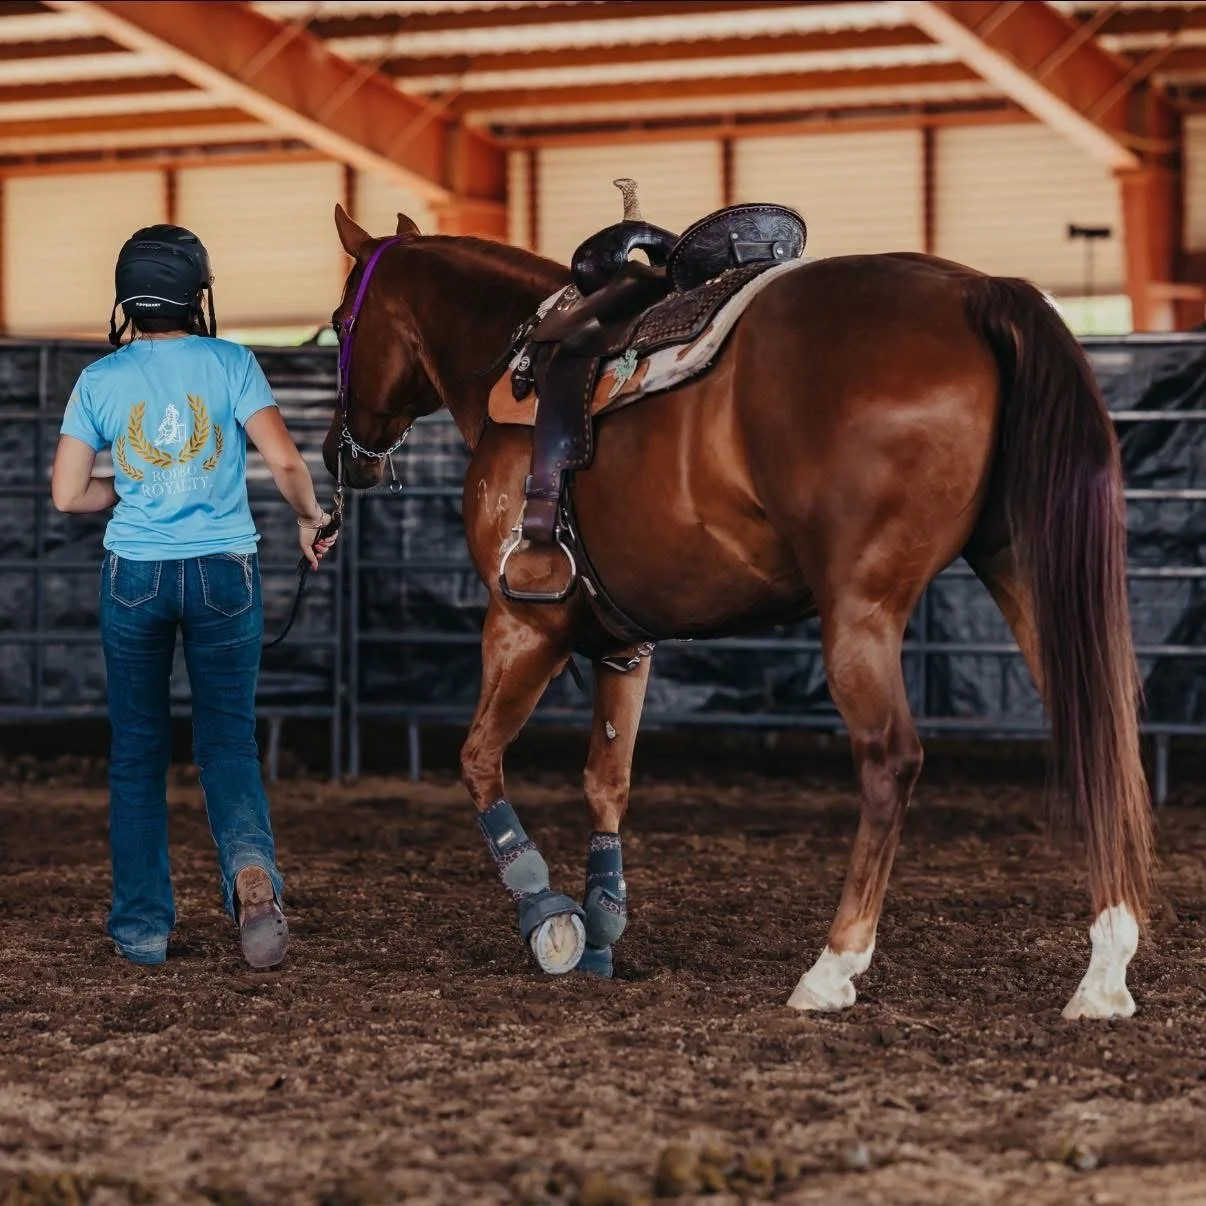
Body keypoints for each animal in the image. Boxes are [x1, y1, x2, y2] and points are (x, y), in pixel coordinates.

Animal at [322, 202, 1153, 1021]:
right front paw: (603, 926)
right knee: (1099, 727)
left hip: (862, 609)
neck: (514, 368)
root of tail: (976, 292)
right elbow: (606, 782)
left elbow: (478, 760)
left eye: (338, 321)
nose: (339, 451)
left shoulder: (523, 625)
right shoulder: (626, 646)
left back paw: (832, 967)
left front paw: (549, 918)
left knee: (891, 759)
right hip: (1023, 573)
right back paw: (1104, 971)